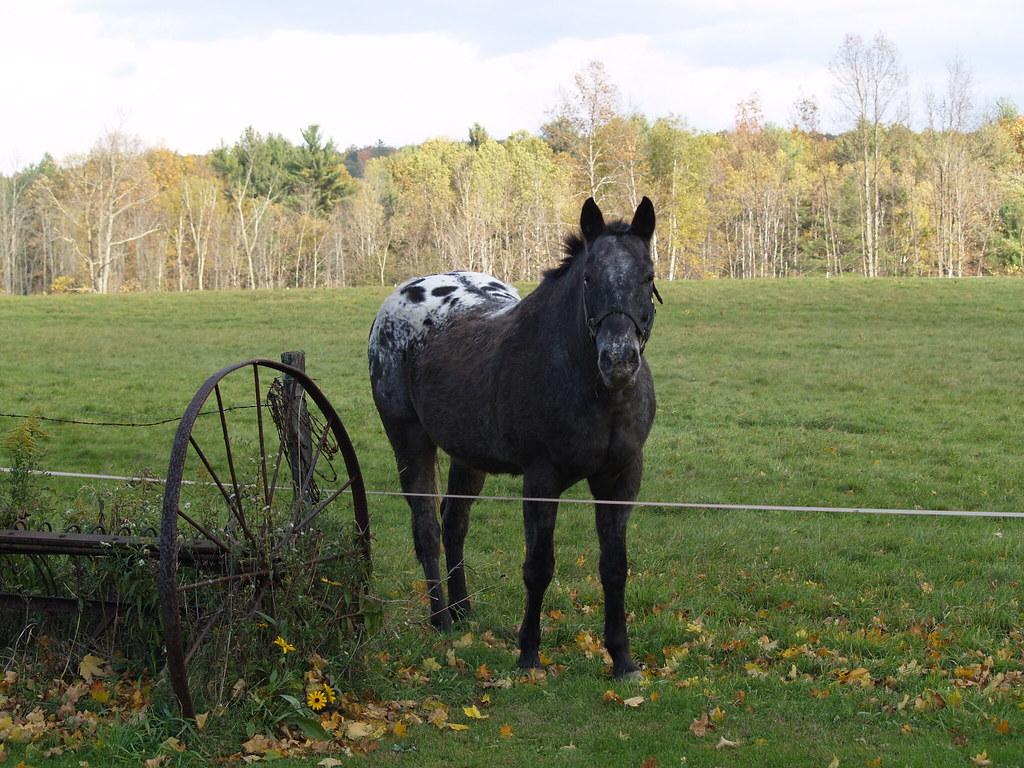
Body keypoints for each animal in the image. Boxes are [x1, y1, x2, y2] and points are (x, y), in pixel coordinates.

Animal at [368, 197, 658, 678]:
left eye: (648, 277)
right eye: (588, 277)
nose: (618, 360)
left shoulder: (621, 477)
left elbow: (615, 567)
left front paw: (622, 658)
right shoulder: (541, 478)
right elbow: (538, 566)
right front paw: (529, 653)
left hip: (468, 457)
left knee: (454, 523)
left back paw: (463, 608)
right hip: (409, 440)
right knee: (427, 527)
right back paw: (440, 617)